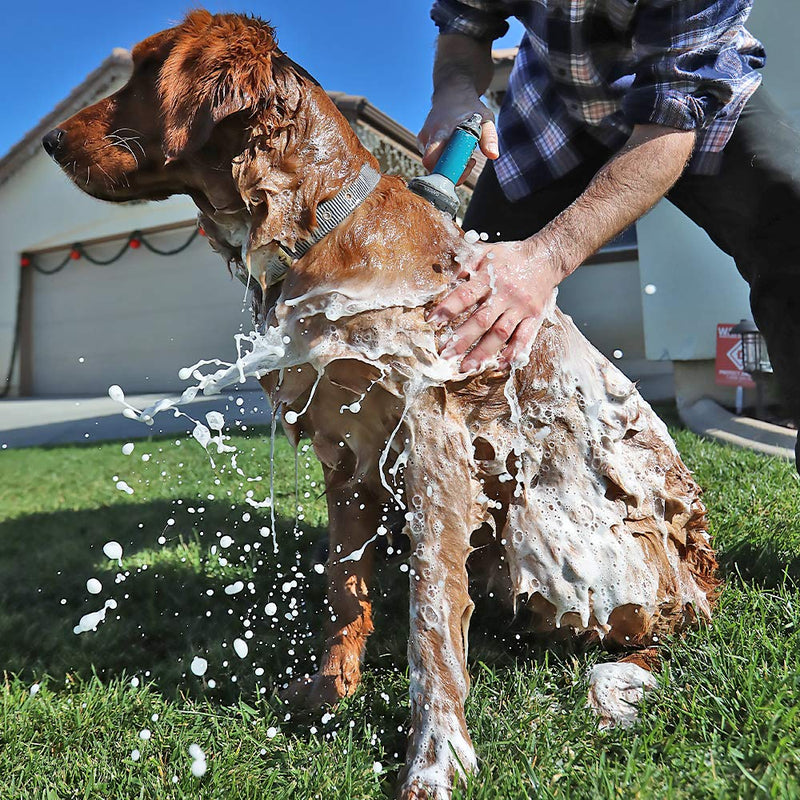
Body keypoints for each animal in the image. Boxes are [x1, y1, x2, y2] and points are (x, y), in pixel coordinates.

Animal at [42, 10, 720, 792]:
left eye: (148, 70)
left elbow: (431, 614)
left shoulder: (431, 439)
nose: (51, 140)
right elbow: (344, 586)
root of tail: (707, 567)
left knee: (674, 631)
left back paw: (618, 683)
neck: (320, 230)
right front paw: (330, 690)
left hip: (558, 533)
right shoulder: (345, 450)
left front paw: (437, 753)